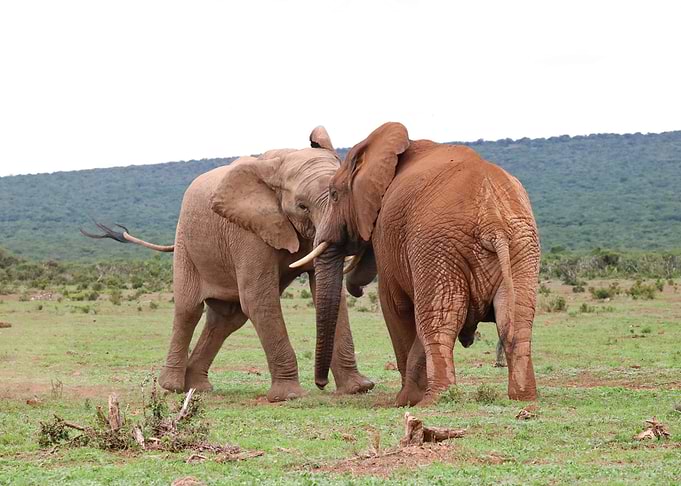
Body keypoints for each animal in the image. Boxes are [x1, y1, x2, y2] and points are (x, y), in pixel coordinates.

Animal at [82, 127, 374, 402]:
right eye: (302, 206)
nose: (320, 384)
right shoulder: (247, 231)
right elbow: (259, 299)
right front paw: (290, 396)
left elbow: (332, 297)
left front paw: (359, 389)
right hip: (186, 244)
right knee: (189, 310)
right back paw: (173, 386)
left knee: (227, 319)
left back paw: (197, 387)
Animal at [292, 122, 540, 405]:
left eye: (333, 195)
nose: (321, 384)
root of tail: (492, 220)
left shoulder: (386, 233)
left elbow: (394, 306)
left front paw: (404, 400)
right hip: (522, 246)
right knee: (519, 319)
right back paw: (523, 398)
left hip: (439, 245)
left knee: (439, 320)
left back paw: (434, 400)